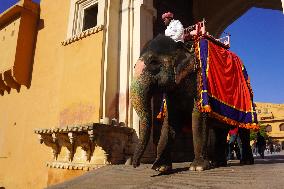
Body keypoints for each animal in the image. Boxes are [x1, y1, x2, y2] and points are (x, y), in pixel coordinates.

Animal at [130, 34, 253, 171]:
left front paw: (197, 167)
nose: (135, 164)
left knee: (244, 131)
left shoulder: (199, 83)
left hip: (248, 98)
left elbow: (198, 116)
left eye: (153, 62)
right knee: (220, 131)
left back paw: (246, 162)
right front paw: (160, 167)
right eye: (134, 66)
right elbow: (170, 121)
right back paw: (218, 163)